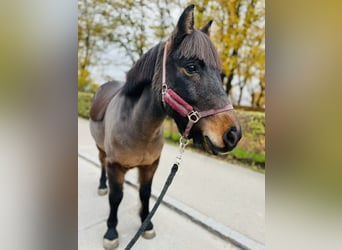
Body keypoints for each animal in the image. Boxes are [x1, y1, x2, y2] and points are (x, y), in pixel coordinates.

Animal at [89, 4, 242, 250]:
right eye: (191, 67)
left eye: (219, 74)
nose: (233, 134)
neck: (137, 129)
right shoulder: (115, 167)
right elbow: (116, 198)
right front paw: (111, 232)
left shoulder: (150, 166)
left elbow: (145, 193)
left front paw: (146, 225)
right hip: (101, 148)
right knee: (101, 162)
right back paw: (102, 186)